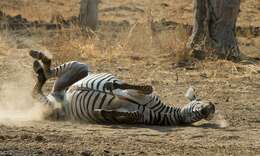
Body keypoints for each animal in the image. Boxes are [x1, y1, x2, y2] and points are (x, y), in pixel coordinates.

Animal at [29, 50, 215, 125]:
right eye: (200, 101)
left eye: (210, 114)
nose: (211, 106)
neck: (163, 113)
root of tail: (59, 94)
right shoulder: (136, 92)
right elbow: (147, 87)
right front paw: (113, 84)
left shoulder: (137, 117)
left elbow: (129, 114)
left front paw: (104, 112)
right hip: (80, 66)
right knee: (49, 72)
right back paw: (38, 58)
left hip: (54, 109)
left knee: (36, 90)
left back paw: (39, 69)